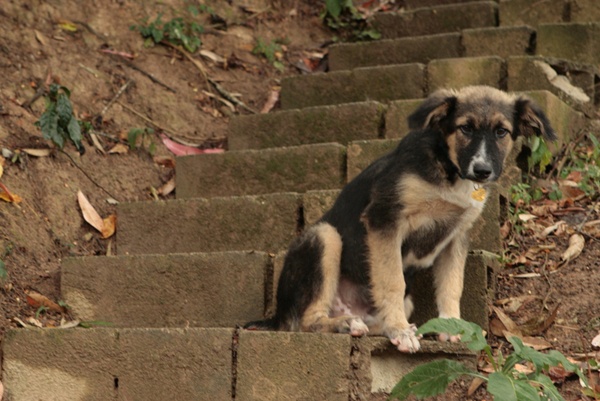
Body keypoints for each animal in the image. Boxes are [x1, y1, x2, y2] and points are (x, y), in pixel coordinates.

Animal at [246, 86, 556, 352]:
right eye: (465, 128)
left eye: (502, 132)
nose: (482, 171)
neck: (449, 170)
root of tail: (276, 316)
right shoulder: (385, 220)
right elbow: (392, 280)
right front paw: (398, 329)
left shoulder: (456, 235)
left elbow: (452, 285)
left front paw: (451, 326)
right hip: (325, 237)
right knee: (305, 321)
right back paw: (347, 325)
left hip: (401, 301)